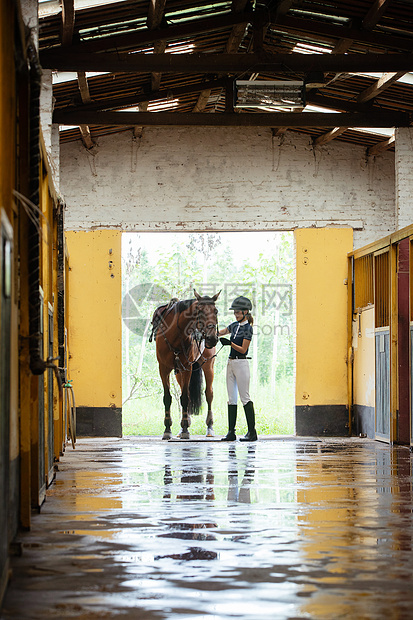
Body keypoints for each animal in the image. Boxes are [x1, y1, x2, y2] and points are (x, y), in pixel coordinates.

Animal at [150, 290, 220, 438]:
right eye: (199, 311)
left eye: (215, 311)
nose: (212, 338)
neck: (174, 336)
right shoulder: (163, 369)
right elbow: (168, 398)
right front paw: (168, 429)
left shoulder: (187, 368)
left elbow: (185, 398)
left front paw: (186, 428)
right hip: (178, 372)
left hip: (208, 365)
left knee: (209, 394)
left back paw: (209, 426)